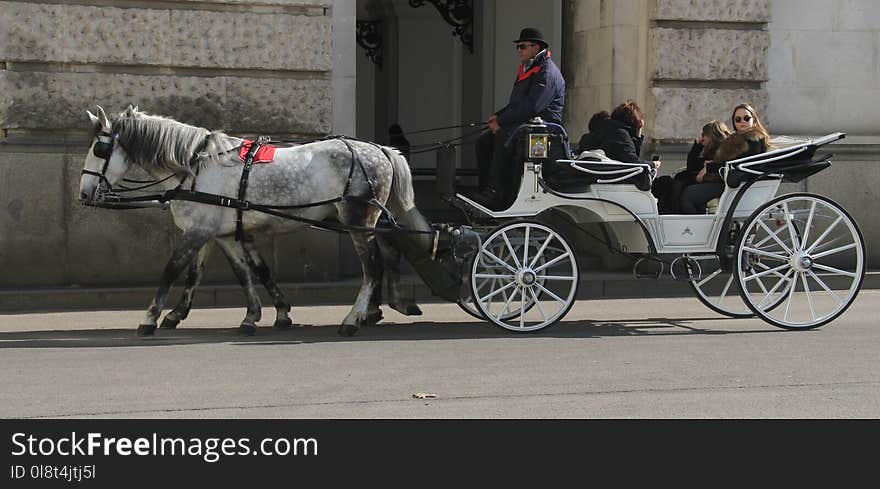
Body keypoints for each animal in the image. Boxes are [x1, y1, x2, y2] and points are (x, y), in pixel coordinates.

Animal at [81, 106, 424, 336]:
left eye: (99, 149)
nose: (84, 193)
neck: (196, 167)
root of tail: (381, 149)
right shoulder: (220, 233)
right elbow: (240, 271)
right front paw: (257, 314)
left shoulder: (198, 232)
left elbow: (172, 270)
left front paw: (150, 318)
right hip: (372, 221)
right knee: (389, 254)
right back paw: (384, 307)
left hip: (358, 219)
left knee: (372, 268)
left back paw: (353, 319)